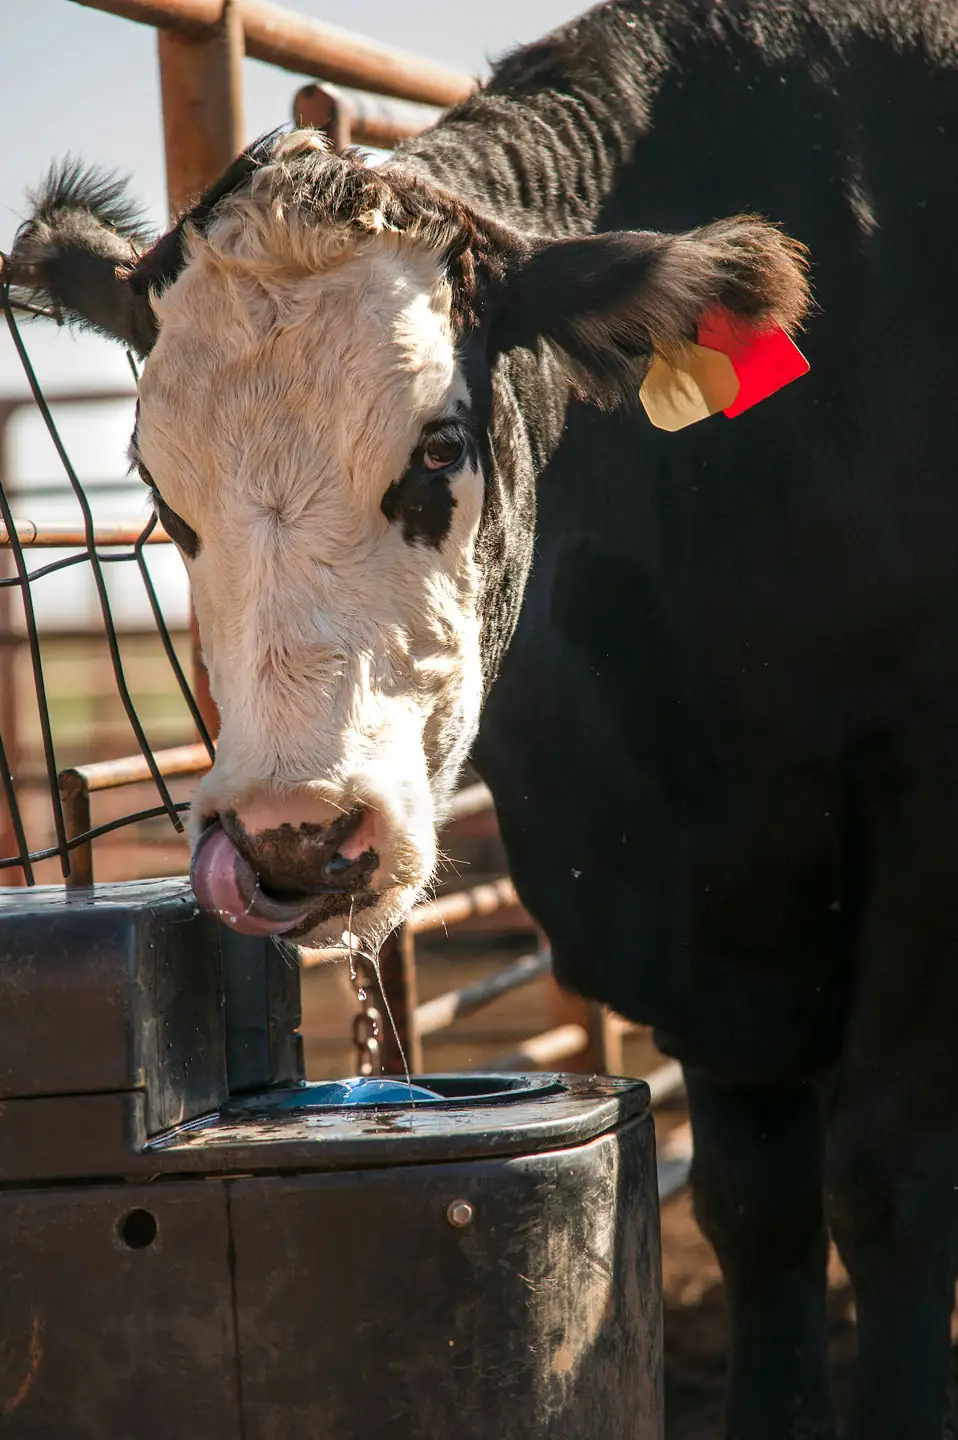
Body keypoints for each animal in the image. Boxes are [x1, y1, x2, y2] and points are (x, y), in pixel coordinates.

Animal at [8, 0, 958, 1433]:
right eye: (159, 493)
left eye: (440, 449)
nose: (295, 840)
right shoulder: (666, 885)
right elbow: (760, 1202)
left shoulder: (920, 795)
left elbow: (887, 1185)